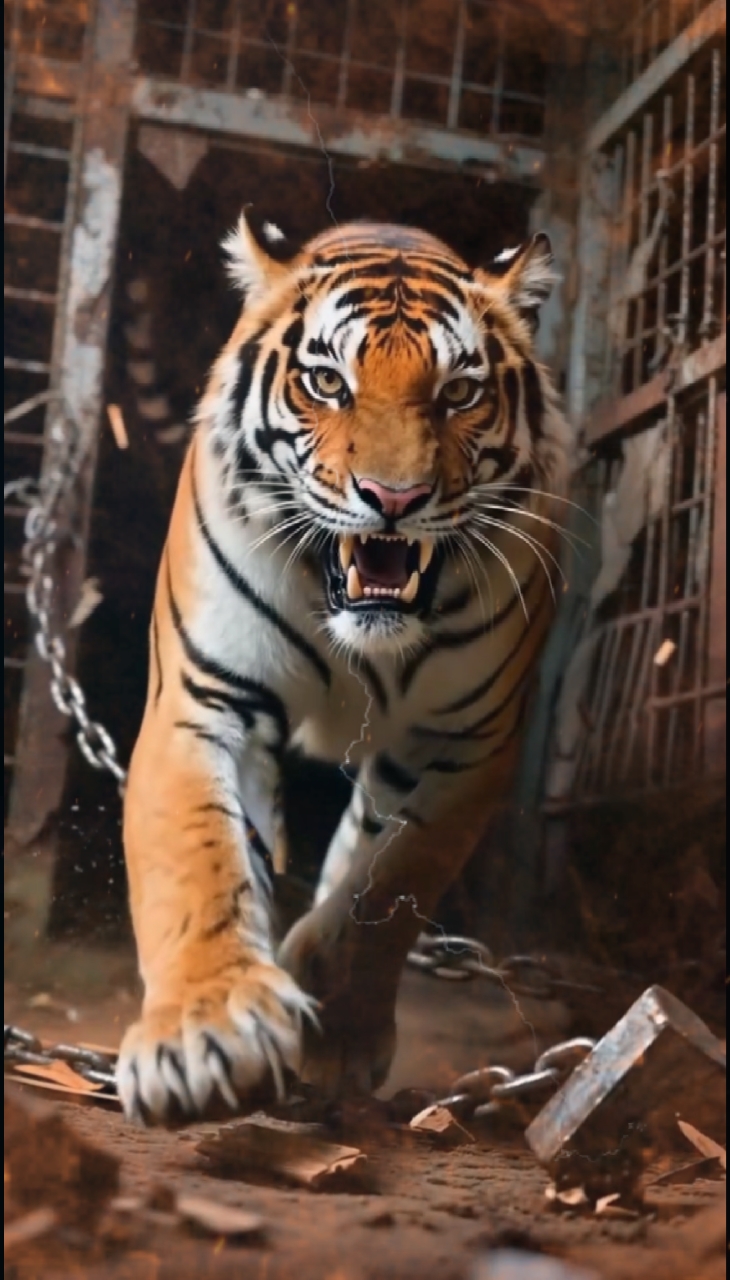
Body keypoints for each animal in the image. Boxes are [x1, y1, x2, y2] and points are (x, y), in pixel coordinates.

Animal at [116, 212, 572, 1123]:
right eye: (327, 382)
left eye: (459, 393)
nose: (393, 499)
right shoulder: (202, 699)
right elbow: (196, 857)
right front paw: (204, 1034)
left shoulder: (468, 747)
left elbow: (390, 882)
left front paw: (338, 1024)